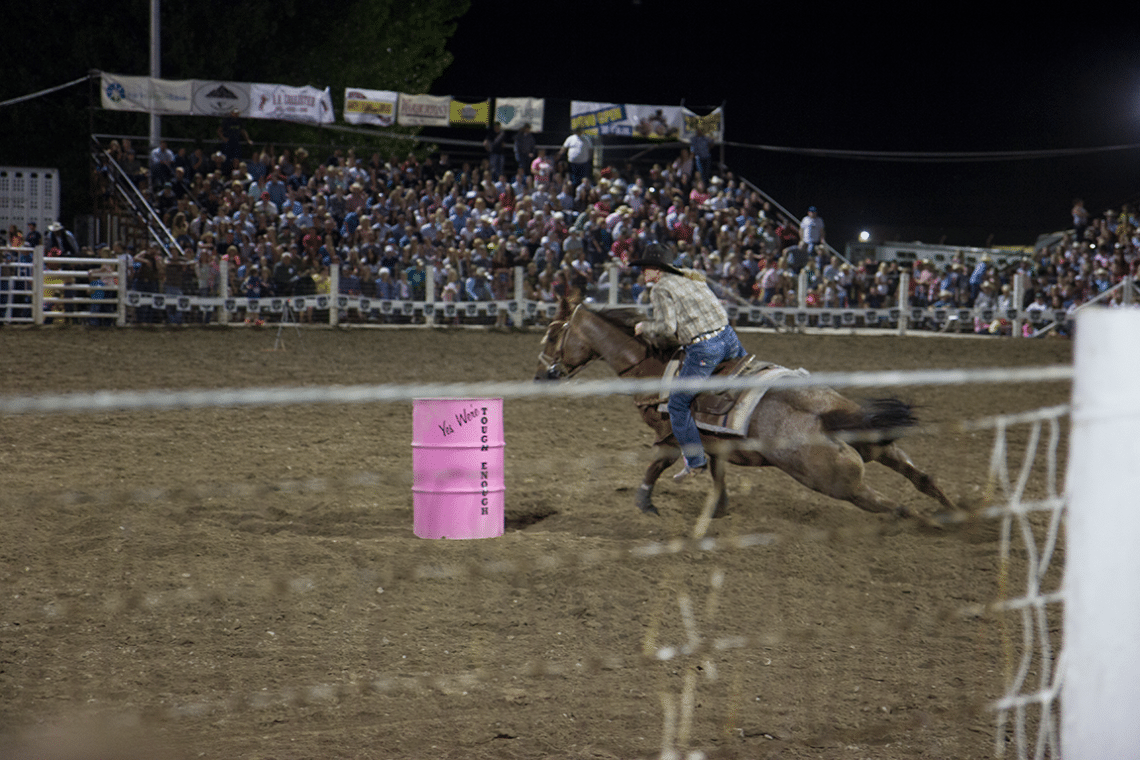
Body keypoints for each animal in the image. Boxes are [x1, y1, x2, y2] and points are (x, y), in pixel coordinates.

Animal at [533, 300, 953, 524]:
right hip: (879, 447)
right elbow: (718, 476)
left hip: (839, 483)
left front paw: (646, 504)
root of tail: (828, 417)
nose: (540, 376)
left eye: (553, 335)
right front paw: (718, 511)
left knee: (898, 507)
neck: (655, 365)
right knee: (923, 479)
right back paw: (956, 513)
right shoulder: (714, 443)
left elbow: (657, 465)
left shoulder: (671, 434)